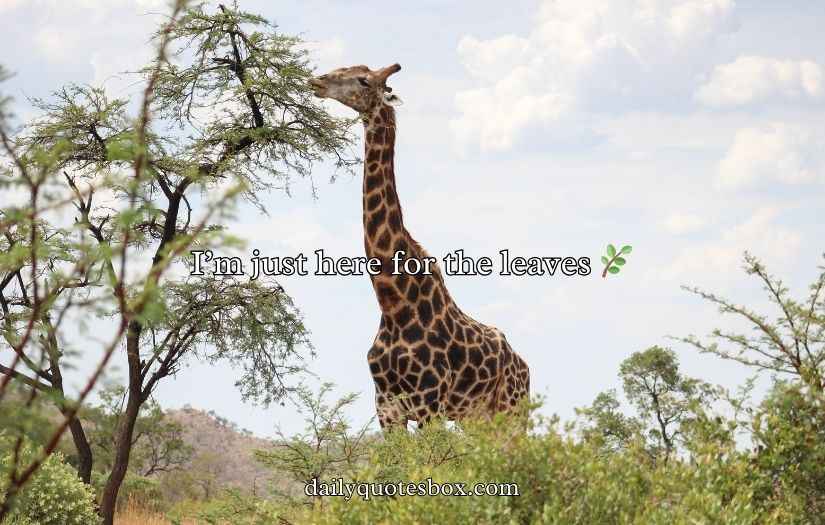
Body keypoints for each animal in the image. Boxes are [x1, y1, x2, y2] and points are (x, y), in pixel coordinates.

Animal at [310, 63, 530, 429]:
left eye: (363, 80)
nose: (318, 81)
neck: (393, 303)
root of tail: (525, 367)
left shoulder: (429, 404)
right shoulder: (386, 408)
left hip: (511, 412)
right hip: (475, 418)